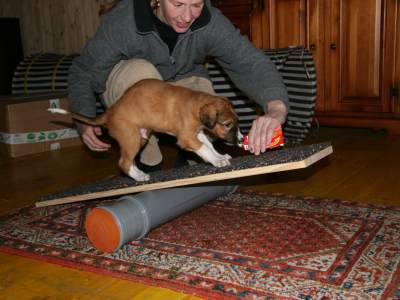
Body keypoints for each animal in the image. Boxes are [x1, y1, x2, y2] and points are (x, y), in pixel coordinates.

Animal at [50, 78, 244, 182]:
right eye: (227, 124)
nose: (241, 140)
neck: (195, 105)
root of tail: (110, 112)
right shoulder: (187, 138)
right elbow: (204, 149)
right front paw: (217, 161)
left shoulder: (197, 134)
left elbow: (209, 147)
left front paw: (219, 156)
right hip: (131, 137)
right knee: (123, 163)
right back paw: (139, 177)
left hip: (140, 138)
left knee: (129, 162)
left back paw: (139, 174)